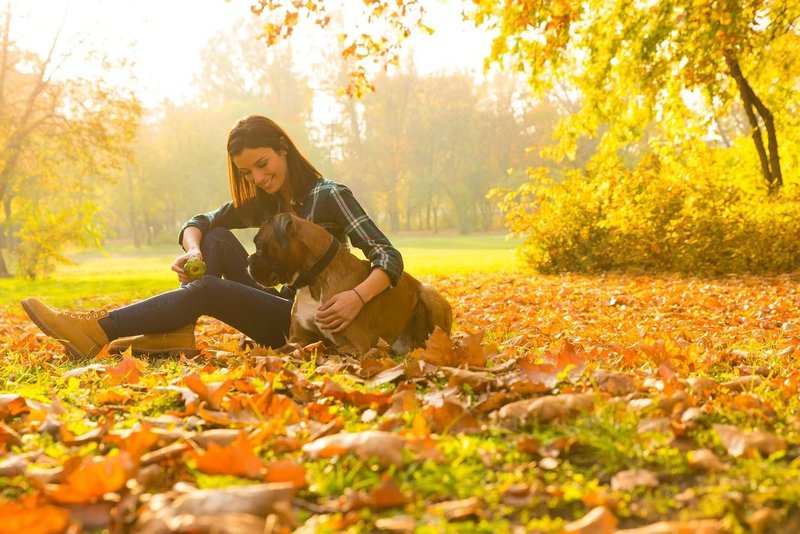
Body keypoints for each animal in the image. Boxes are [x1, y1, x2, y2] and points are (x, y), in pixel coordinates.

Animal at [247, 214, 454, 356]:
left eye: (259, 245)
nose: (248, 260)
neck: (314, 281)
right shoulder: (297, 339)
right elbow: (278, 350)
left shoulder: (358, 344)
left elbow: (332, 349)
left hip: (428, 293)